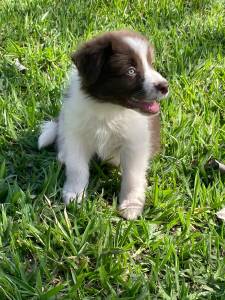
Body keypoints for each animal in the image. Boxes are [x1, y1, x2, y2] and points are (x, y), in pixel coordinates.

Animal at [38, 29, 169, 219]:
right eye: (131, 71)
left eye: (151, 64)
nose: (165, 86)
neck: (109, 109)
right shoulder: (76, 133)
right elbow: (77, 168)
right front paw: (75, 194)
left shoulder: (135, 143)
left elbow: (133, 176)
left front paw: (131, 205)